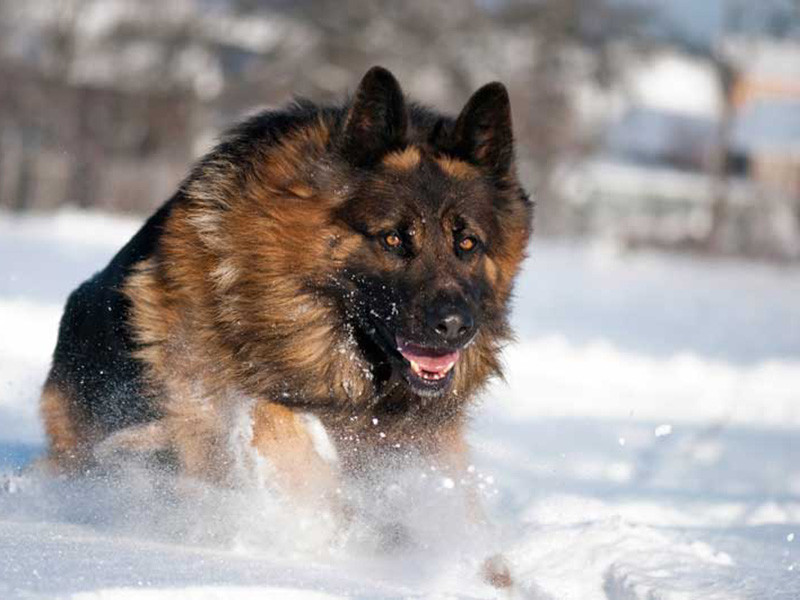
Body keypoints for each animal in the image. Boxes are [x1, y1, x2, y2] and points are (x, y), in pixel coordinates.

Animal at [40, 68, 536, 588]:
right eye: (393, 239)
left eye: (467, 243)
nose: (456, 326)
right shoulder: (208, 396)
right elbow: (279, 428)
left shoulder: (426, 441)